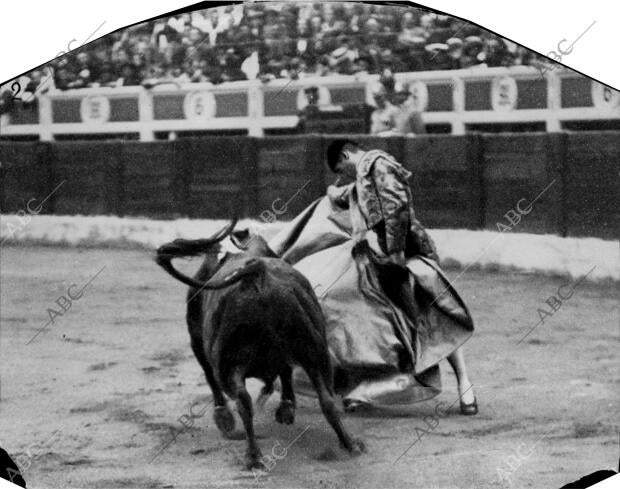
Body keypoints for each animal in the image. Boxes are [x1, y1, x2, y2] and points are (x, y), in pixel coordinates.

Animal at [155, 219, 366, 468]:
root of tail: (256, 274)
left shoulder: (198, 341)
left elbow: (213, 378)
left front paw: (225, 417)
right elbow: (286, 374)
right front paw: (285, 409)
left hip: (227, 362)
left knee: (240, 399)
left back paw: (250, 451)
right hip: (314, 352)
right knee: (327, 399)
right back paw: (350, 445)